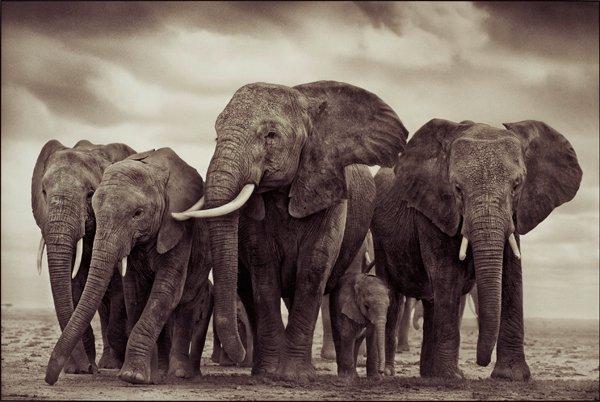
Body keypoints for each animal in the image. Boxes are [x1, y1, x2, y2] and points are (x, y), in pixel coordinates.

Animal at [31, 141, 134, 374]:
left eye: (90, 194)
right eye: (44, 191)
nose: (87, 368)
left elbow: (118, 287)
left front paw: (111, 365)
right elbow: (74, 285)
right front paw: (78, 369)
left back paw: (111, 364)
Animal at [173, 80, 408, 382]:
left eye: (271, 135)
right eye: (216, 135)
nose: (233, 358)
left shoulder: (328, 185)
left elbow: (315, 265)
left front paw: (296, 376)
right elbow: (263, 267)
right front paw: (270, 373)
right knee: (249, 290)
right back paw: (259, 368)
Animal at [372, 118, 580, 380]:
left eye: (516, 186)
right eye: (457, 189)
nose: (482, 362)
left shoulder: (515, 214)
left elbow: (511, 275)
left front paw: (510, 377)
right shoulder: (433, 210)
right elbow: (447, 274)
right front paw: (450, 377)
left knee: (430, 302)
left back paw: (429, 374)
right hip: (379, 238)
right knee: (393, 297)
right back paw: (390, 373)